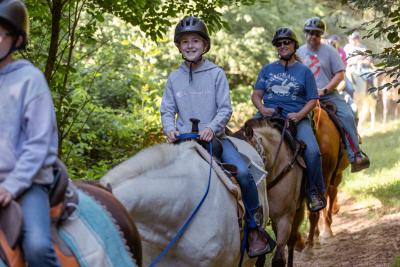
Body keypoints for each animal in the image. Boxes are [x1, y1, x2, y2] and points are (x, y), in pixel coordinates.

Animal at [304, 107, 350, 260]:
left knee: (332, 193)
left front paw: (310, 246)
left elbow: (317, 211)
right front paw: (313, 240)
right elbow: (312, 210)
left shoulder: (326, 175)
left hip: (335, 175)